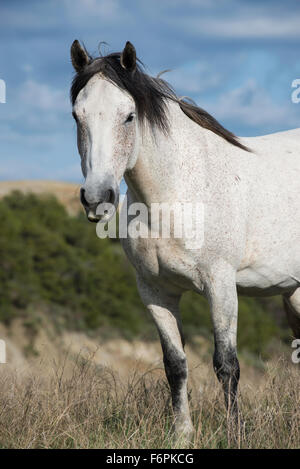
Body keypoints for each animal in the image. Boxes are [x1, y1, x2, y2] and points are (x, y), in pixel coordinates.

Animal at [71, 40, 300, 438]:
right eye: (77, 116)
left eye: (129, 116)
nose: (97, 198)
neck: (176, 195)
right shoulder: (156, 292)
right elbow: (175, 364)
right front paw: (182, 433)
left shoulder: (220, 285)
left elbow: (227, 365)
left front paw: (234, 434)